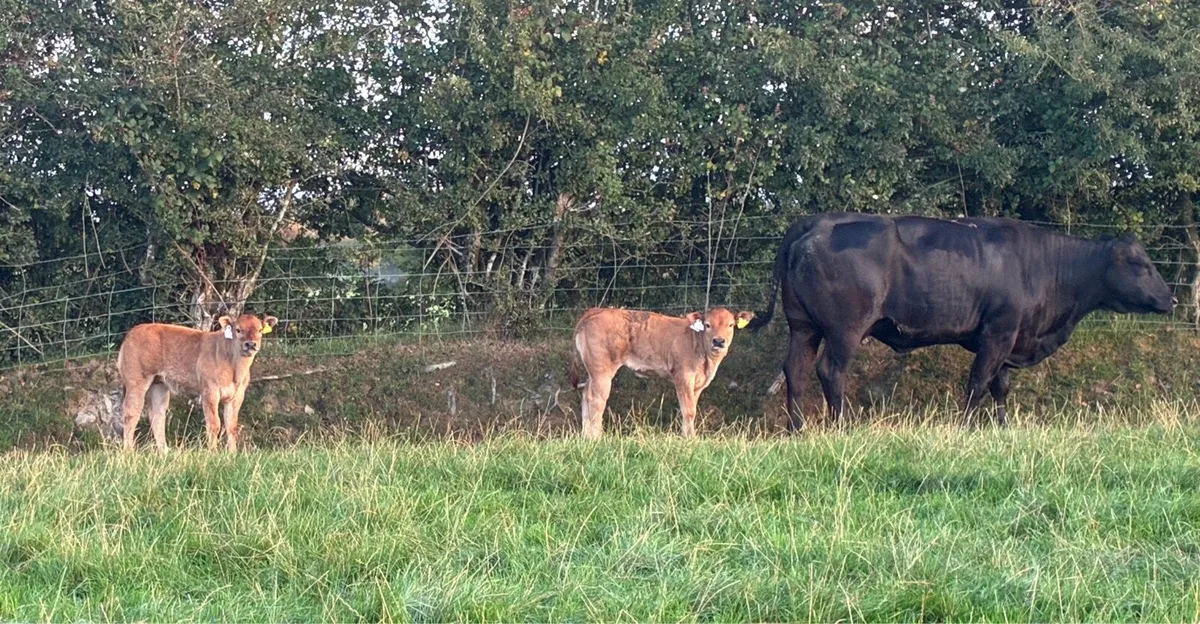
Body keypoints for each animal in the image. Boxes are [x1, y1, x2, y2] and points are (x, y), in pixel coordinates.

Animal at [117, 313, 278, 452]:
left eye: (260, 329)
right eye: (238, 330)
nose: (250, 344)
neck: (234, 369)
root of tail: (133, 332)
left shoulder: (237, 396)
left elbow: (231, 425)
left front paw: (232, 454)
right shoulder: (210, 391)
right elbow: (214, 423)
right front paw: (213, 453)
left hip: (159, 384)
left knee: (157, 415)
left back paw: (164, 452)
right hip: (136, 380)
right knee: (131, 412)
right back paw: (129, 452)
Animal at [568, 307, 755, 439]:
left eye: (730, 325)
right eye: (708, 325)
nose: (718, 341)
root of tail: (596, 311)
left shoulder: (698, 385)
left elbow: (691, 409)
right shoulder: (683, 377)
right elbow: (688, 410)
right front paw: (691, 439)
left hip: (593, 372)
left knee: (586, 394)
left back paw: (586, 437)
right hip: (602, 370)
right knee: (596, 400)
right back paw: (596, 438)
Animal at [747, 212, 1175, 429]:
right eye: (1140, 264)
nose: (1170, 298)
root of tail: (817, 222)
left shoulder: (1010, 338)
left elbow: (1000, 386)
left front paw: (1002, 427)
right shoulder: (998, 333)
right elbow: (979, 382)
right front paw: (967, 426)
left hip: (804, 327)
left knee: (796, 371)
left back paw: (798, 427)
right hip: (845, 330)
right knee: (830, 371)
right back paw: (842, 426)